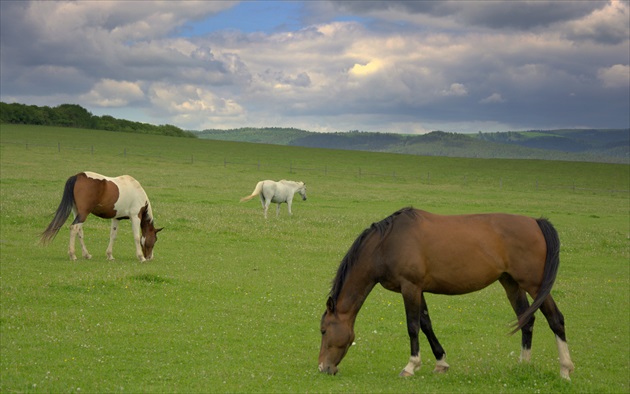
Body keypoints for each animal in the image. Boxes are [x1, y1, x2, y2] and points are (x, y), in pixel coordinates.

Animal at [320, 208, 576, 380]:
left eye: (323, 330)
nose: (323, 368)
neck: (387, 243)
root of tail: (536, 222)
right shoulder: (418, 289)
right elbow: (426, 324)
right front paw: (440, 362)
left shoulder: (410, 287)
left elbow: (412, 326)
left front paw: (411, 366)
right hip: (511, 283)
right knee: (527, 320)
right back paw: (523, 365)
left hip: (534, 284)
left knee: (556, 319)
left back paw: (565, 370)